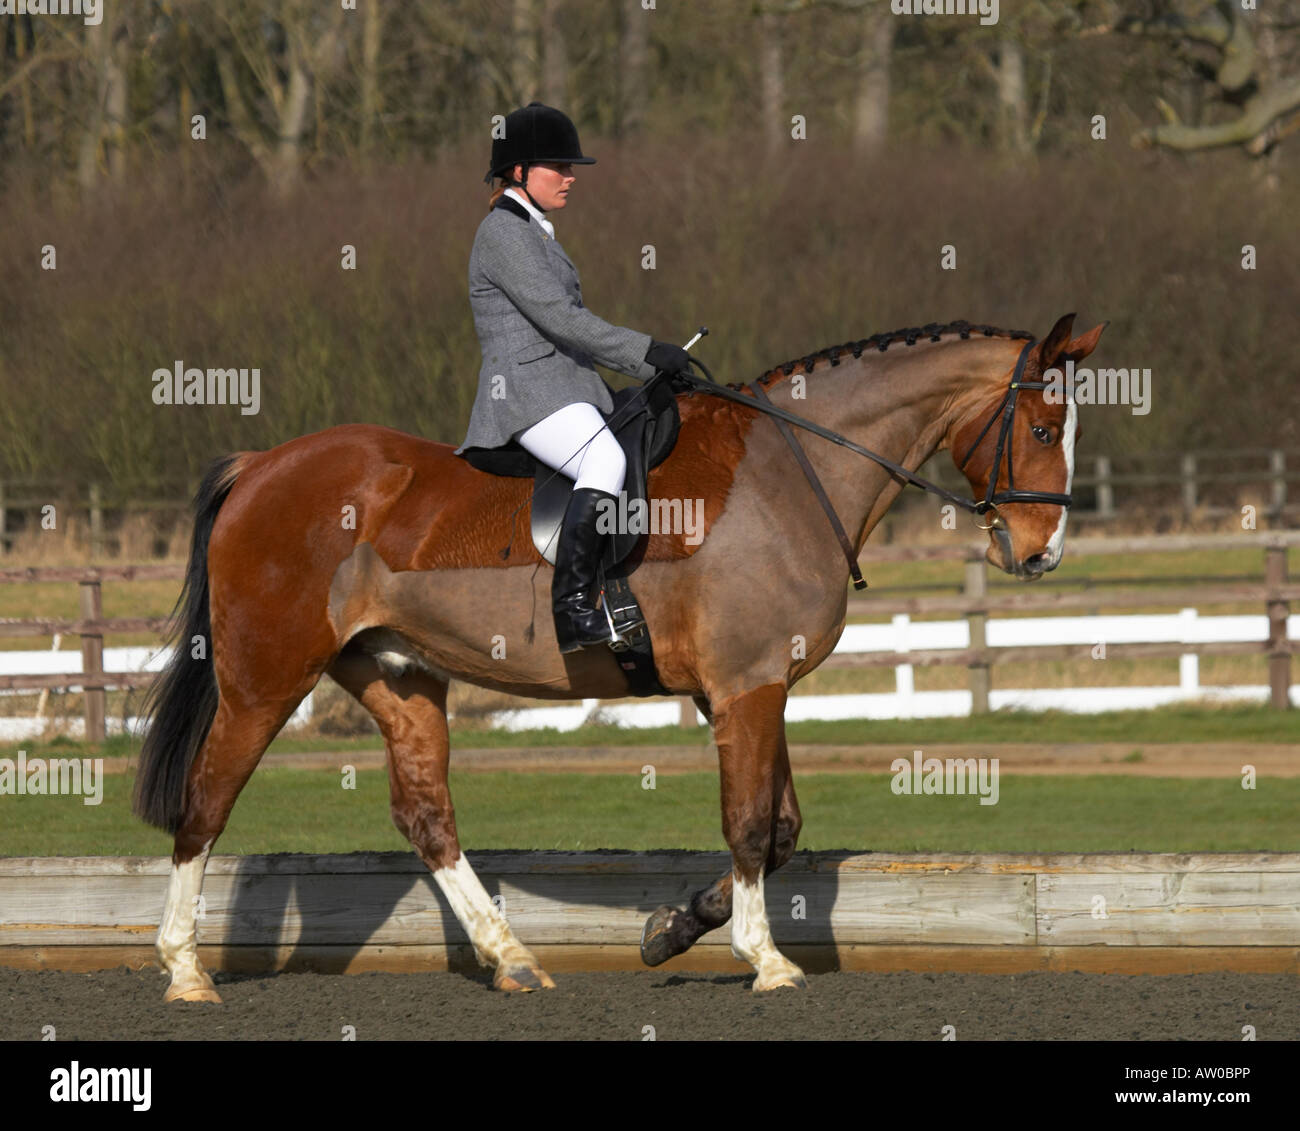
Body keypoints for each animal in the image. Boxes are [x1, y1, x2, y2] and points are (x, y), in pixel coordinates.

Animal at [133, 312, 1105, 1000]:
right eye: (1045, 428)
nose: (1041, 552)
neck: (791, 469)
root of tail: (264, 464)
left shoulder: (751, 689)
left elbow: (781, 828)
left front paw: (674, 928)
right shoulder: (747, 686)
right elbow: (750, 822)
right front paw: (765, 959)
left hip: (398, 676)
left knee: (426, 816)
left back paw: (513, 958)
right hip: (263, 683)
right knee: (206, 802)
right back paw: (184, 971)